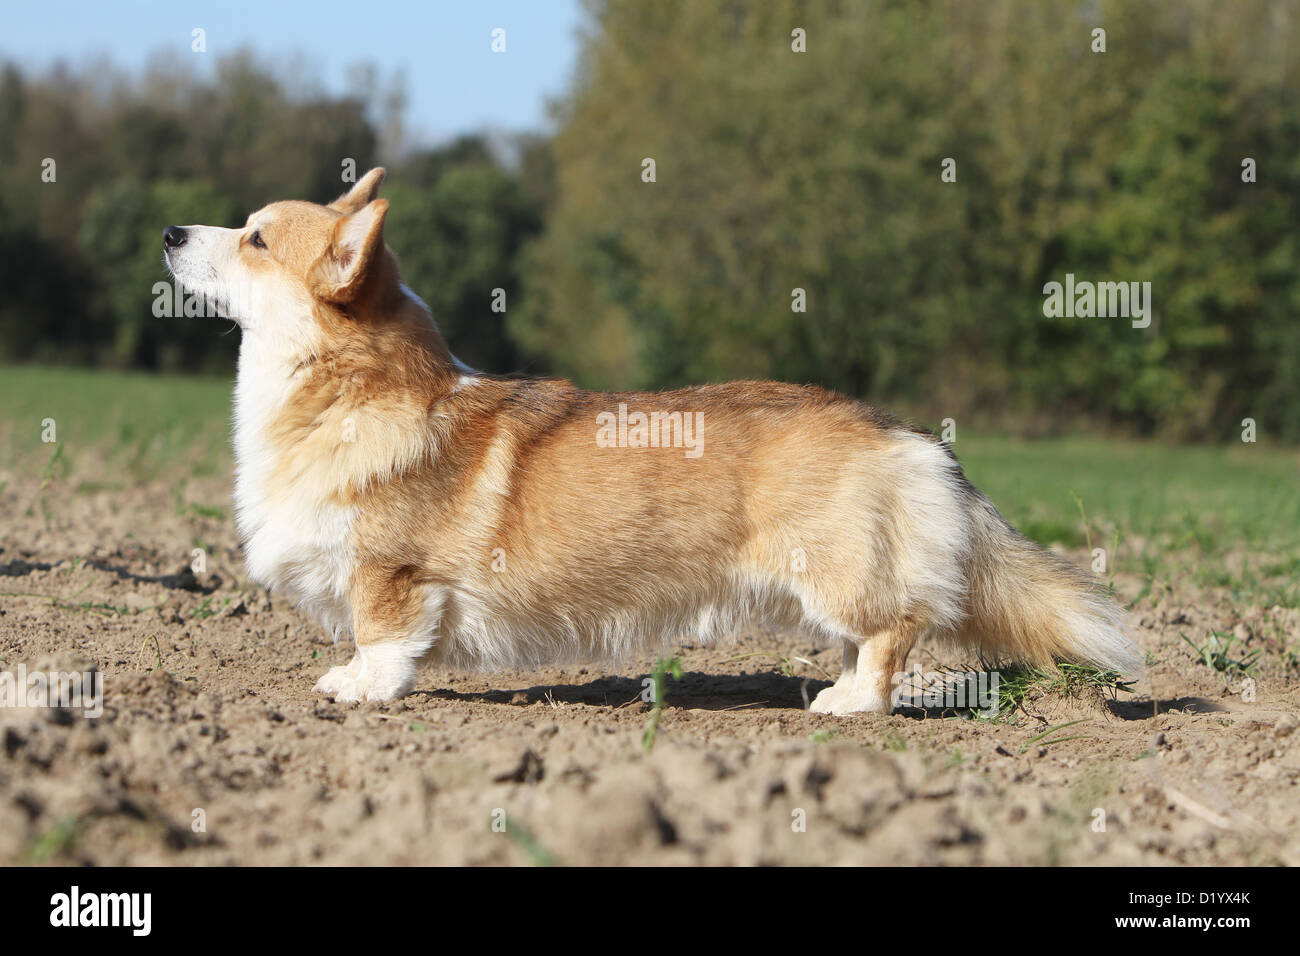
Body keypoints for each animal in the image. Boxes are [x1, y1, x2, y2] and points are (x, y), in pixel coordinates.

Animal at [162, 167, 1138, 712]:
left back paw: (851, 706)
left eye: (255, 239)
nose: (170, 229)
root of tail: (910, 436)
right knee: (871, 638)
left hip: (839, 572)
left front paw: (359, 691)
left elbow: (383, 640)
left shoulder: (391, 576)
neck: (349, 389)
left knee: (894, 632)